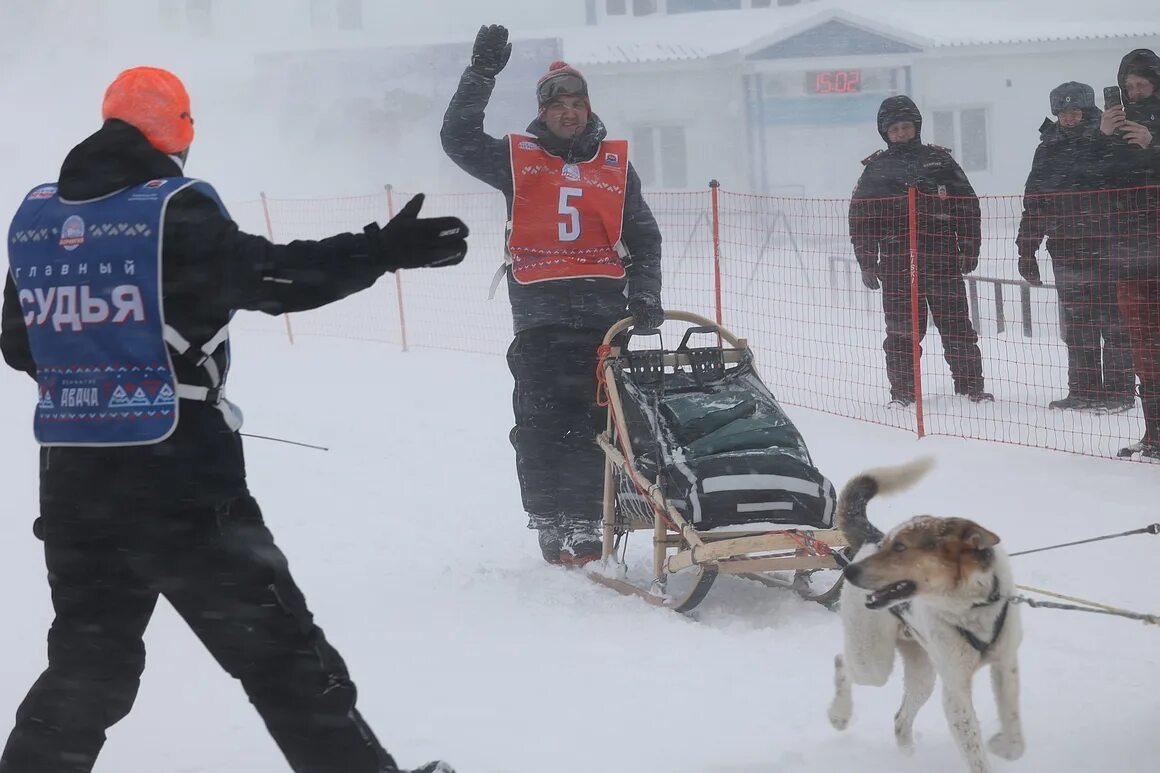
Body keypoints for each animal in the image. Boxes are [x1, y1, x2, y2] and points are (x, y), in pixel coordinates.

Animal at [825, 457, 1025, 770]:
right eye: (889, 546)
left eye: (900, 547)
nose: (850, 572)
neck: (971, 605)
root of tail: (870, 538)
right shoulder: (955, 690)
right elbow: (976, 754)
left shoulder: (1006, 666)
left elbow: (1016, 741)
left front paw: (1001, 745)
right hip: (873, 663)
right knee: (842, 660)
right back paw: (839, 714)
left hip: (923, 675)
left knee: (900, 719)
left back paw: (908, 756)